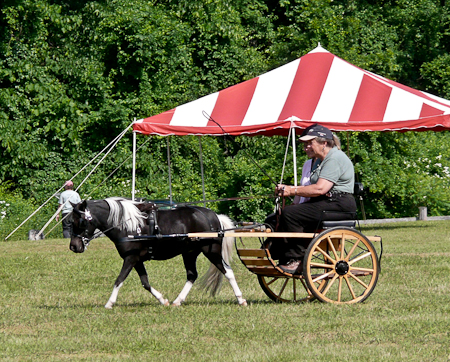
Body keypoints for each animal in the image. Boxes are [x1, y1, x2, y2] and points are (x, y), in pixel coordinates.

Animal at [70, 198, 246, 308]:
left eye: (82, 222)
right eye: (71, 221)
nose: (74, 246)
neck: (127, 225)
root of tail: (214, 216)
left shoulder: (130, 258)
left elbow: (119, 280)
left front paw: (109, 303)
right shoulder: (137, 260)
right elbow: (145, 283)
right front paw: (163, 300)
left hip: (212, 251)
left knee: (228, 272)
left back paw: (241, 299)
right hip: (189, 253)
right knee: (192, 275)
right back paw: (177, 301)